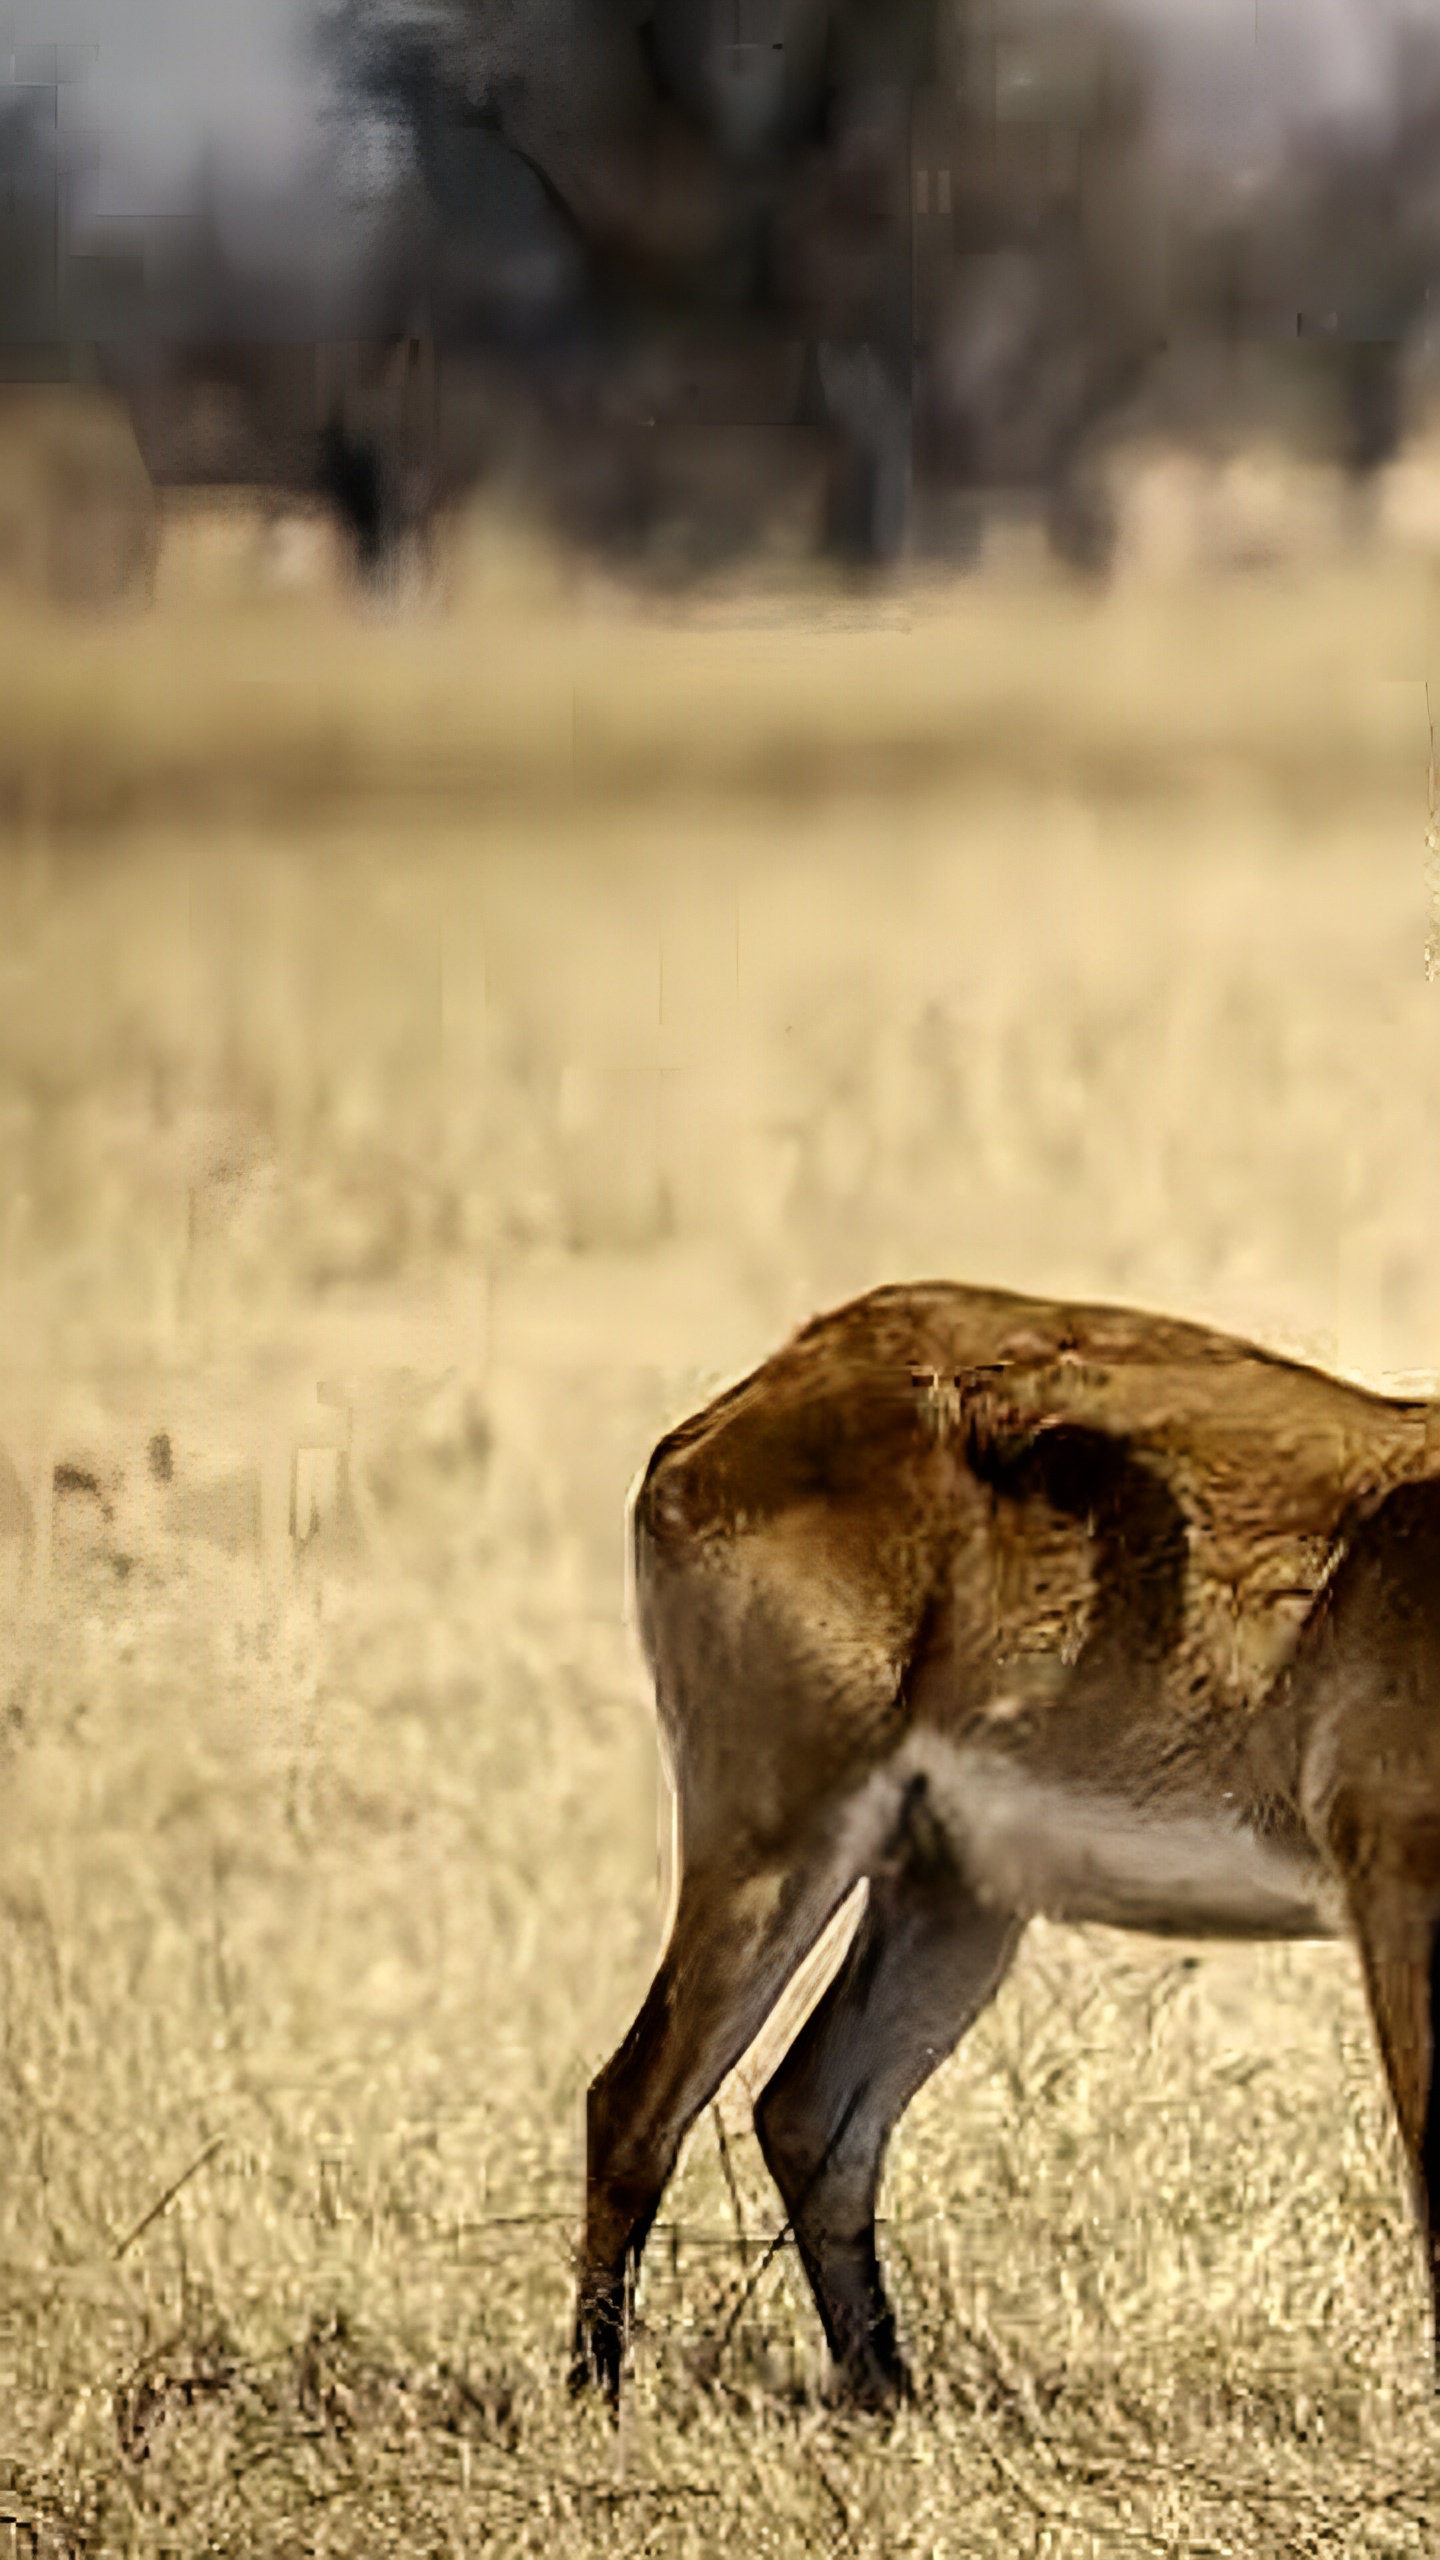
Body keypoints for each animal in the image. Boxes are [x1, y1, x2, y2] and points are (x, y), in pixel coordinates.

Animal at [571, 1290, 1440, 2406]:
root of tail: (731, 1416)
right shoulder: (1397, 1892)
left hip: (953, 1895)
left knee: (808, 2111)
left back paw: (888, 2399)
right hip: (773, 1840)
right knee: (635, 2100)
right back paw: (598, 2404)